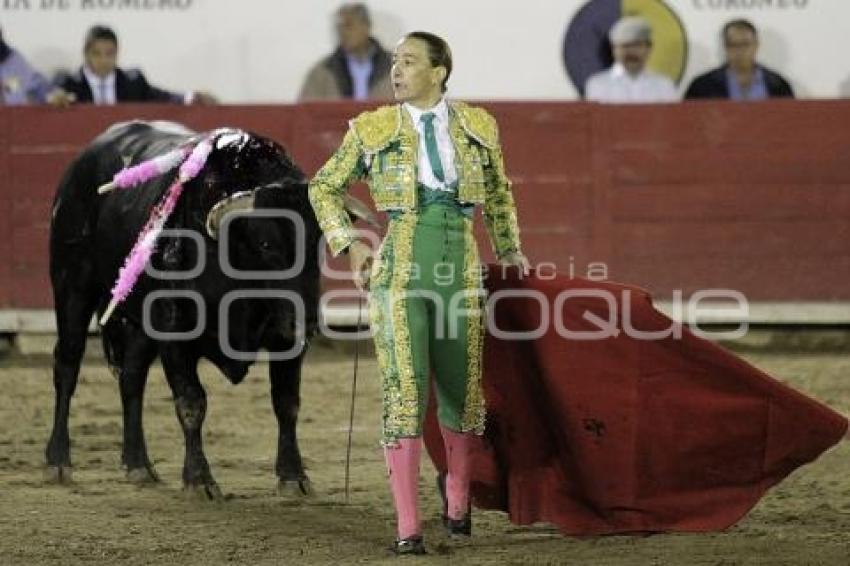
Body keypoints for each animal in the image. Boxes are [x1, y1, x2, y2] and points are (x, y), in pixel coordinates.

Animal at [44, 122, 362, 500]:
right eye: (267, 244)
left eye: (319, 243)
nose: (309, 321)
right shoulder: (175, 336)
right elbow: (192, 402)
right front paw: (199, 479)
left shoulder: (286, 340)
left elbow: (286, 402)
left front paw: (293, 476)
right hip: (72, 288)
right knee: (67, 365)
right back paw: (58, 460)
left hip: (140, 324)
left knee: (132, 378)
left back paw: (139, 465)